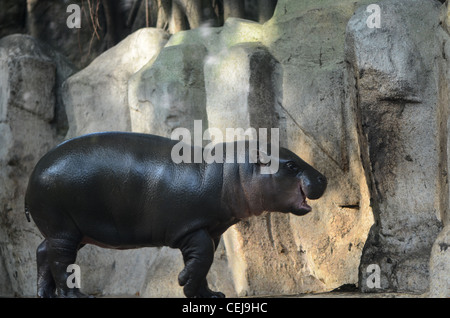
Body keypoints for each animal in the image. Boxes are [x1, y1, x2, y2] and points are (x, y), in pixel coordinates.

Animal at [25, 132, 326, 298]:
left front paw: (212, 295)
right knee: (61, 262)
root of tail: (32, 177)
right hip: (64, 228)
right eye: (291, 164)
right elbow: (202, 259)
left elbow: (204, 264)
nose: (323, 177)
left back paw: (45, 294)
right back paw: (76, 296)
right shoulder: (192, 229)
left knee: (43, 252)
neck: (232, 172)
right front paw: (184, 282)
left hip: (73, 231)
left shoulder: (211, 230)